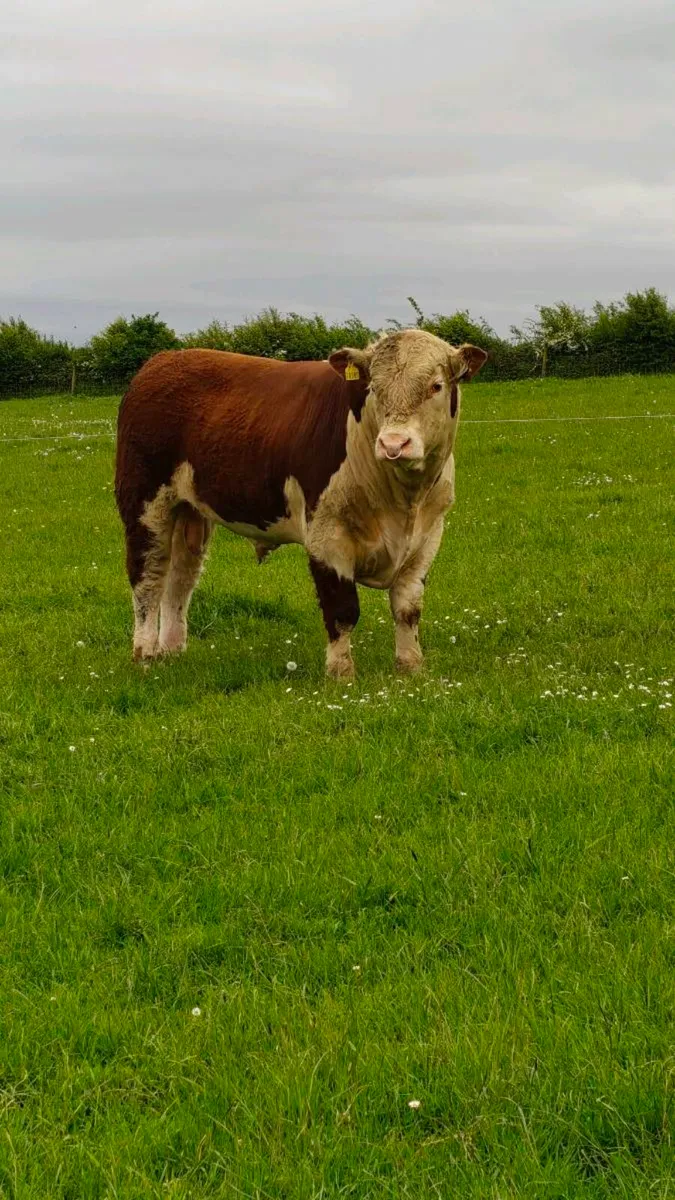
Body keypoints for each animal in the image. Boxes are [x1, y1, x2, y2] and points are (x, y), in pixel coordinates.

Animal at [114, 329, 487, 677]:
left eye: (436, 386)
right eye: (373, 388)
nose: (394, 444)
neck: (401, 499)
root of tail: (163, 360)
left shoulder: (428, 536)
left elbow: (408, 609)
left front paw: (410, 667)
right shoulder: (327, 535)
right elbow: (342, 610)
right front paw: (341, 673)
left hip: (189, 511)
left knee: (180, 579)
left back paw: (172, 651)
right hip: (145, 504)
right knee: (148, 577)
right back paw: (145, 655)